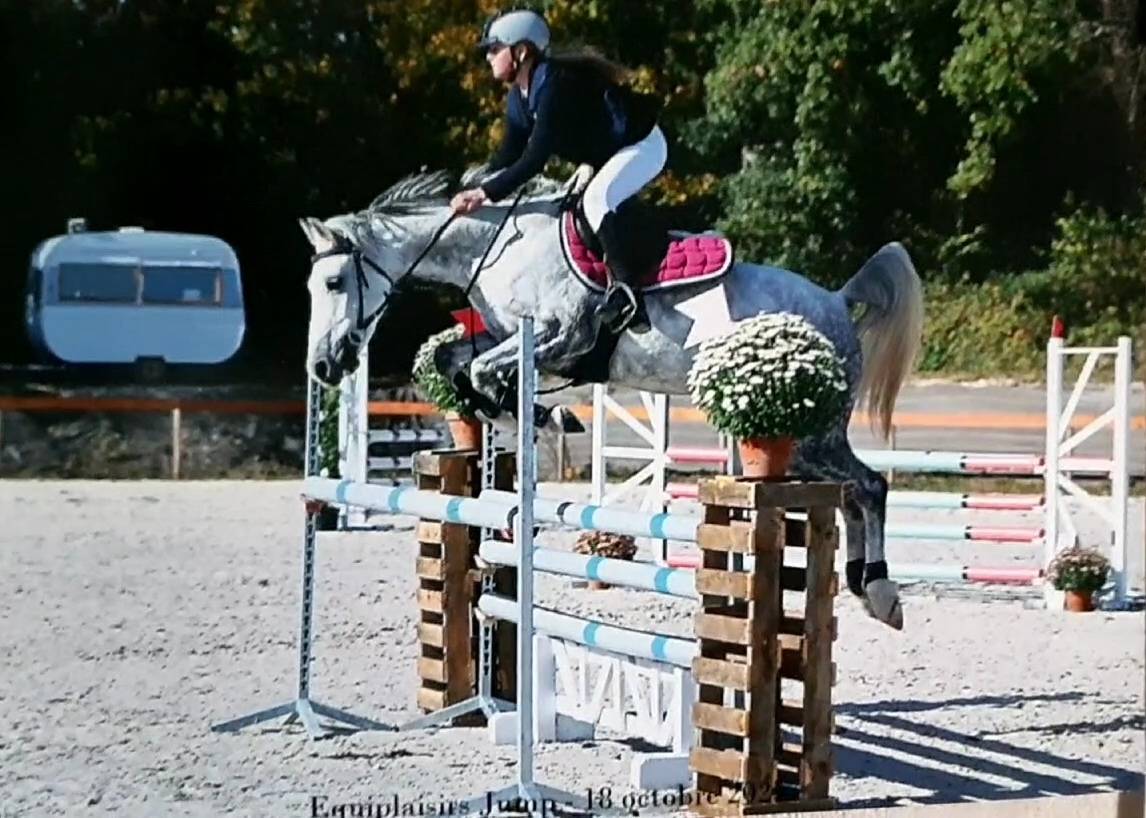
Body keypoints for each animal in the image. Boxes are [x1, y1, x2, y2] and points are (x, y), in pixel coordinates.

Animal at [299, 168, 924, 630]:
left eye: (333, 283)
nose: (324, 366)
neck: (496, 248)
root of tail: (836, 301)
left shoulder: (561, 338)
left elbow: (479, 371)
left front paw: (539, 420)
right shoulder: (514, 342)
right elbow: (459, 368)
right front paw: (527, 418)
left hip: (813, 432)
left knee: (869, 486)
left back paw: (881, 590)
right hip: (809, 441)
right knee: (851, 495)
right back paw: (864, 586)